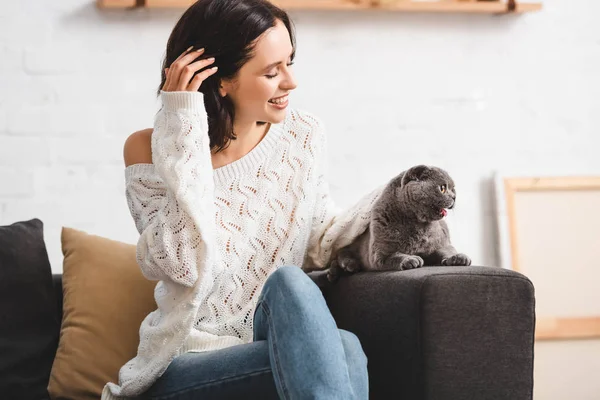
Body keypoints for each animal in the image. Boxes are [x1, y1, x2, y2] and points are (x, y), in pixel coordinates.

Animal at [326, 164, 472, 282]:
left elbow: (448, 249)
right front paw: (410, 259)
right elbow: (394, 255)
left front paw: (459, 258)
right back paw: (344, 267)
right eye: (442, 188)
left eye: (453, 189)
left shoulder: (441, 242)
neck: (418, 225)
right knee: (341, 253)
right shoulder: (378, 255)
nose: (454, 197)